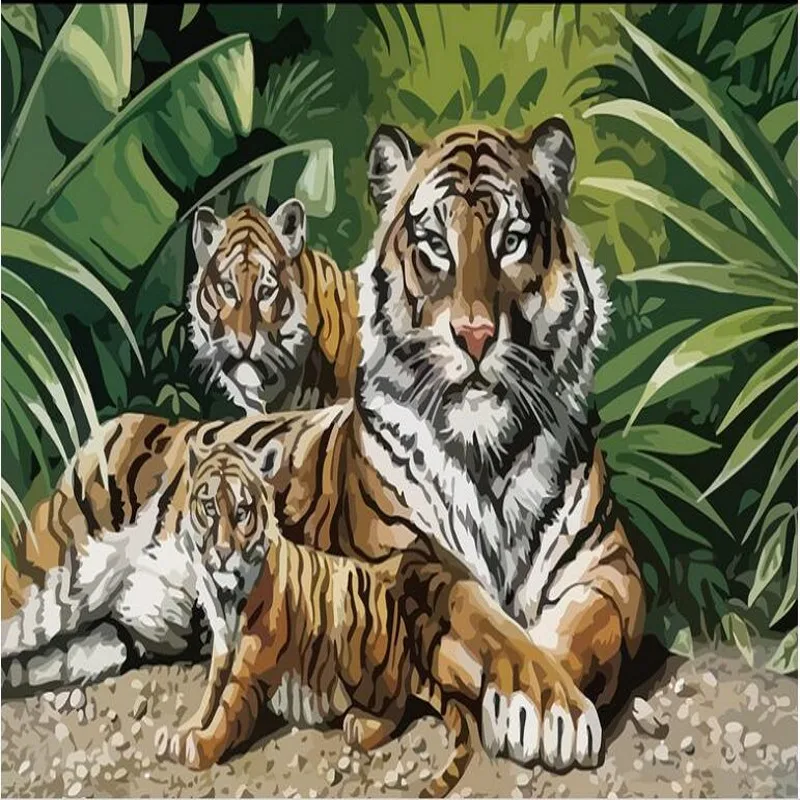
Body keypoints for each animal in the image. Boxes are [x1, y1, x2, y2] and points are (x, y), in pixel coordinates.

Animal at [157, 439, 478, 797]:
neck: (224, 594)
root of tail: (406, 656)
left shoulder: (256, 646)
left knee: (396, 706)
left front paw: (201, 746)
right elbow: (212, 690)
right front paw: (184, 731)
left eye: (242, 511)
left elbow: (229, 701)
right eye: (209, 507)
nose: (224, 553)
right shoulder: (224, 643)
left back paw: (360, 725)